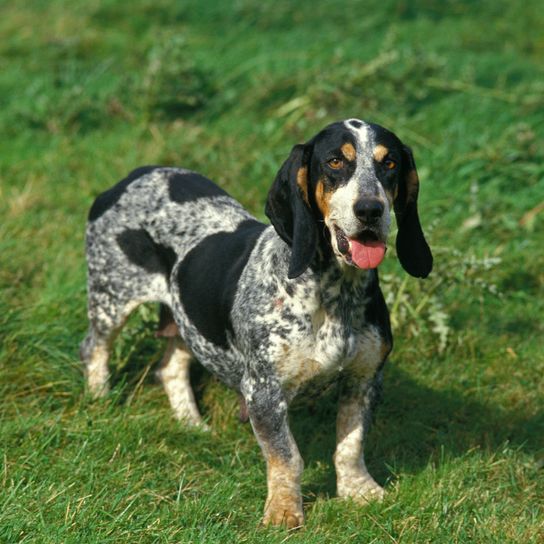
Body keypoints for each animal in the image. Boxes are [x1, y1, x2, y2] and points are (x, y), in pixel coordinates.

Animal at [81, 118, 432, 528]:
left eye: (389, 163)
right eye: (334, 162)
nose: (370, 210)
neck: (334, 292)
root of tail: (131, 176)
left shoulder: (365, 379)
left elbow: (350, 444)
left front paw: (358, 491)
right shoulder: (264, 392)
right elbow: (287, 457)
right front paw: (283, 510)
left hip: (189, 319)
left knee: (170, 367)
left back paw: (191, 423)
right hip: (111, 300)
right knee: (94, 348)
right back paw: (100, 399)